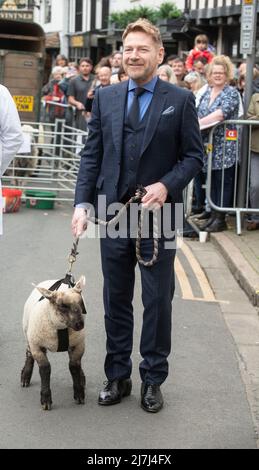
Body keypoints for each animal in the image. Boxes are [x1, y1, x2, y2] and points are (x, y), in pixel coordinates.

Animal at [21, 278, 86, 410]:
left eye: (81, 302)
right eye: (62, 305)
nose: (80, 324)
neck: (60, 328)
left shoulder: (79, 344)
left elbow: (74, 366)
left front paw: (79, 393)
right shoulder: (37, 347)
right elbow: (45, 369)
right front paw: (46, 400)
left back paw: (82, 377)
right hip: (28, 333)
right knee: (29, 353)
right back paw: (25, 376)